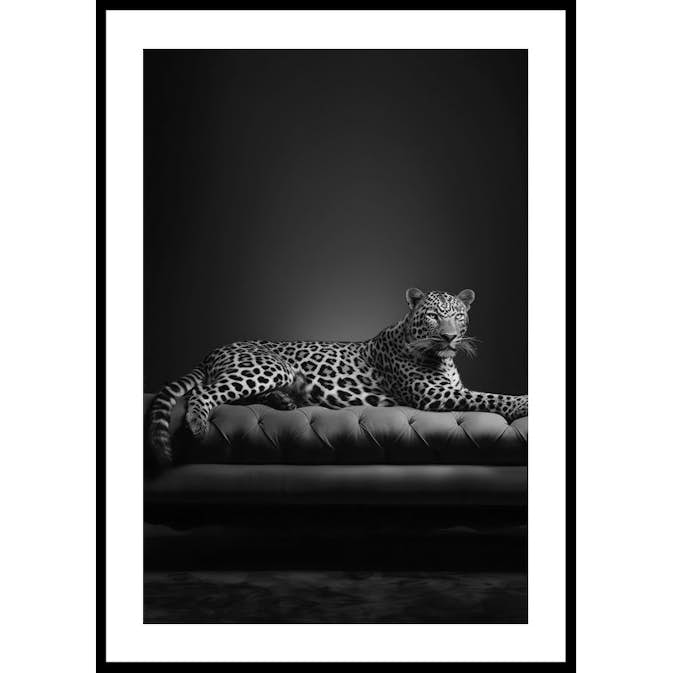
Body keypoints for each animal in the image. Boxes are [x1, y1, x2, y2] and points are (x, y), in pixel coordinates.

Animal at [149, 287, 528, 466]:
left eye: (459, 315)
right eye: (434, 316)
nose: (450, 337)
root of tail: (213, 350)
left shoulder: (449, 388)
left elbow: (485, 393)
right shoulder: (433, 394)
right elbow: (490, 396)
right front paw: (524, 402)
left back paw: (285, 401)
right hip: (268, 366)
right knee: (204, 393)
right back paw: (198, 424)